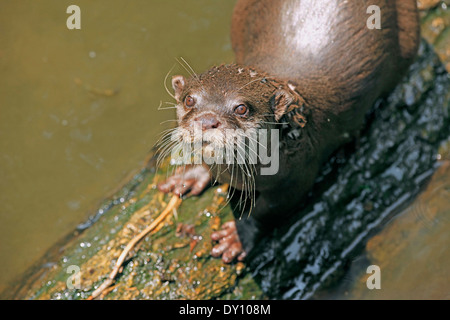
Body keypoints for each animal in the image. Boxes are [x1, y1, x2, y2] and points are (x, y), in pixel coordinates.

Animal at [156, 0, 420, 262]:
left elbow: (269, 211)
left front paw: (237, 236)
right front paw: (190, 175)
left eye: (241, 108)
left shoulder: (297, 177)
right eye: (189, 100)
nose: (207, 120)